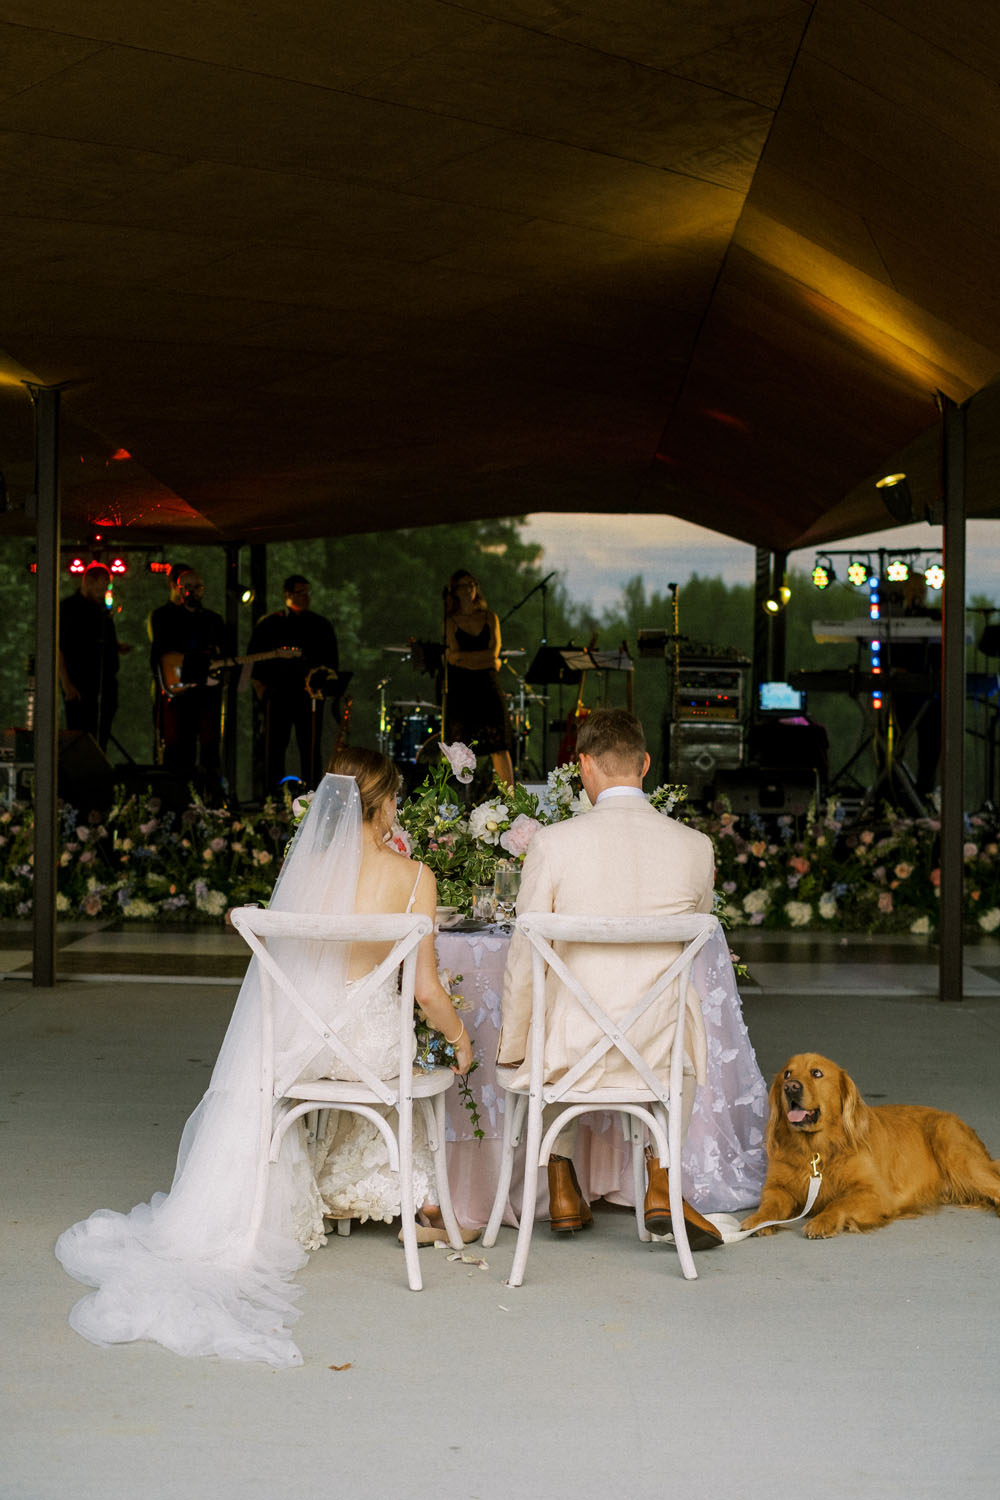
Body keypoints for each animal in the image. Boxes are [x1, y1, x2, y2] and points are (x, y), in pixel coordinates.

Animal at [743, 1050, 1000, 1236]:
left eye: (816, 1073)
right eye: (787, 1074)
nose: (791, 1087)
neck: (815, 1151)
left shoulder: (875, 1192)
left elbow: (838, 1203)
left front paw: (823, 1221)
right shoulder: (777, 1188)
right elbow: (769, 1205)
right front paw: (757, 1220)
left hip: (956, 1152)